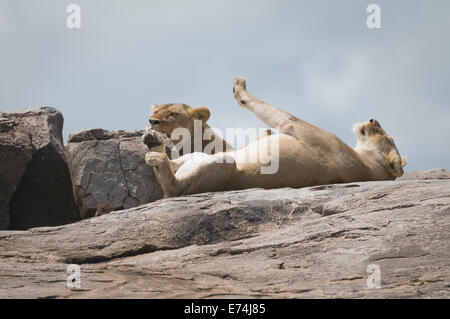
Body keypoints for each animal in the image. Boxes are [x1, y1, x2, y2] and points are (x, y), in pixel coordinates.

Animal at [145, 77, 408, 198]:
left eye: (386, 136)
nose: (373, 120)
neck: (366, 165)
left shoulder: (297, 127)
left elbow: (277, 114)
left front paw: (239, 87)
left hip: (224, 166)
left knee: (174, 188)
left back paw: (156, 155)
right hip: (199, 158)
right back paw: (153, 142)